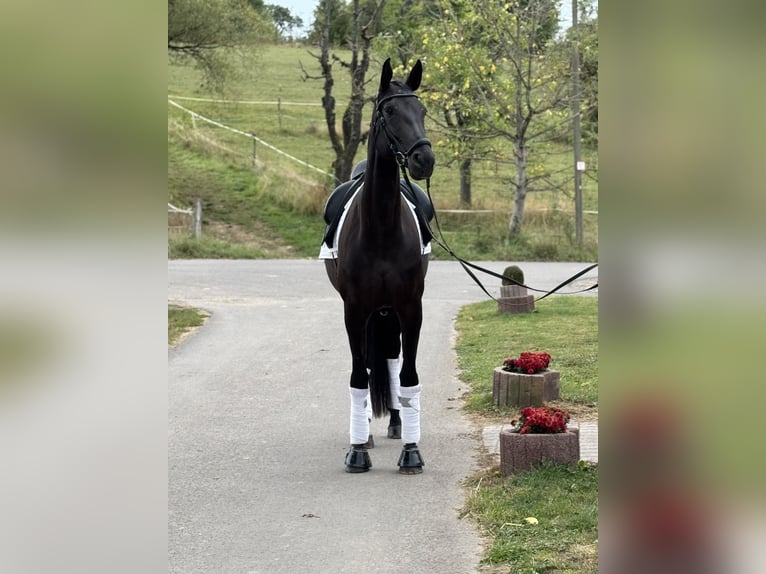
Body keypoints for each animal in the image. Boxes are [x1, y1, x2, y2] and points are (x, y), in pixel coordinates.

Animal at [321, 58, 435, 474]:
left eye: (422, 110)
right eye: (389, 112)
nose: (424, 160)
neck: (383, 227)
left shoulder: (411, 307)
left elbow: (407, 374)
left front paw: (411, 450)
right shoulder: (354, 310)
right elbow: (359, 376)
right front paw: (357, 450)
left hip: (390, 313)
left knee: (389, 359)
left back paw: (398, 424)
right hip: (371, 313)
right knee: (370, 364)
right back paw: (367, 433)